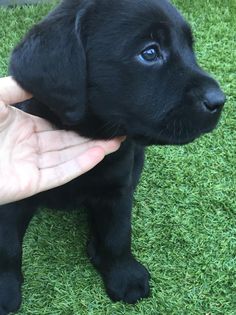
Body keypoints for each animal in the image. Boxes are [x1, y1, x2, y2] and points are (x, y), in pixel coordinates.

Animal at [0, 0, 225, 314]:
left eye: (190, 48)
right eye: (150, 52)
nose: (219, 101)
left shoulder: (118, 188)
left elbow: (118, 234)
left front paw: (124, 275)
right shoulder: (13, 200)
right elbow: (7, 246)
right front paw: (4, 291)